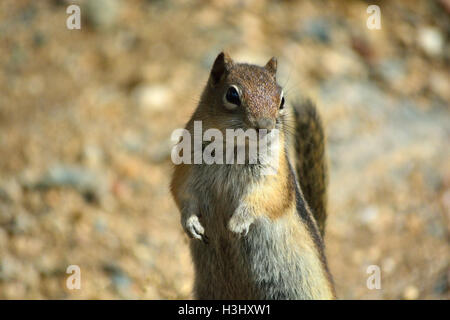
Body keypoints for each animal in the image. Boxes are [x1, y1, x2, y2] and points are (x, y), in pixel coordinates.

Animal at [171, 52, 336, 300]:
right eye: (232, 94)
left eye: (282, 99)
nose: (265, 126)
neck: (235, 148)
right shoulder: (186, 168)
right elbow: (182, 194)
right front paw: (190, 223)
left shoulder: (274, 179)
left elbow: (265, 198)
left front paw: (237, 223)